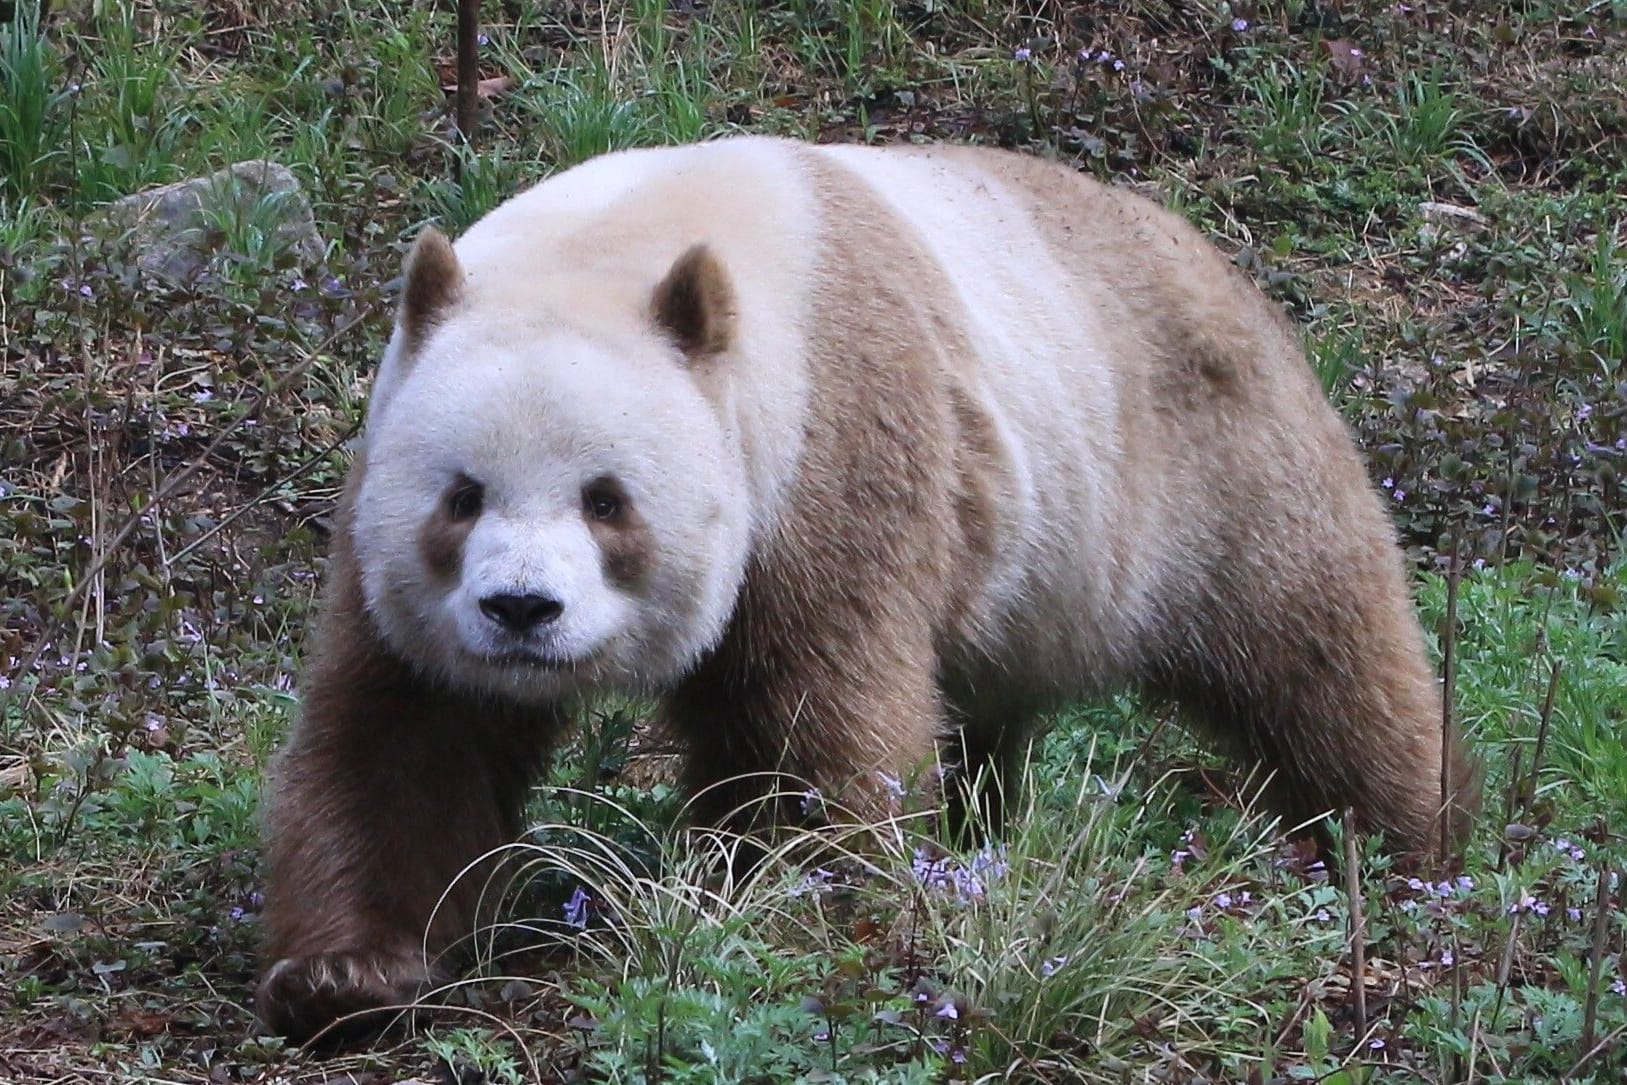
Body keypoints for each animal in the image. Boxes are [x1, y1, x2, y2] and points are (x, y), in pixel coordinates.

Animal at [250, 135, 1477, 1041]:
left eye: (607, 500)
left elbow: (813, 723)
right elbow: (406, 732)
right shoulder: (385, 511)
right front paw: (348, 976)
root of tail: (1207, 249)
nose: (520, 610)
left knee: (1314, 650)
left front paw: (782, 914)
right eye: (461, 496)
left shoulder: (828, 446)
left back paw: (1408, 848)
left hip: (1197, 467)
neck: (629, 244)